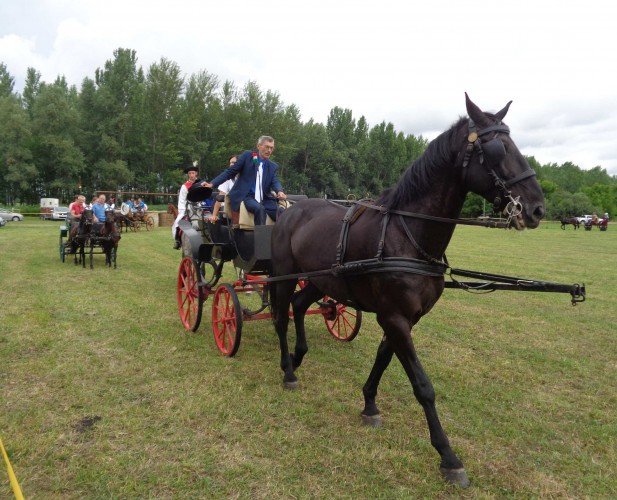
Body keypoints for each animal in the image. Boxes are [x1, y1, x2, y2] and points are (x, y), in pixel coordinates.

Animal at [270, 94, 544, 488]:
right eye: (498, 148)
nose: (536, 208)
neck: (408, 234)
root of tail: (290, 209)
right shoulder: (395, 317)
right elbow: (423, 385)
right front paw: (448, 456)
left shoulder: (403, 319)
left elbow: (384, 360)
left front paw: (369, 405)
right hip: (284, 274)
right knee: (280, 315)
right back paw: (288, 371)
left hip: (321, 280)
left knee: (299, 304)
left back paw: (297, 357)